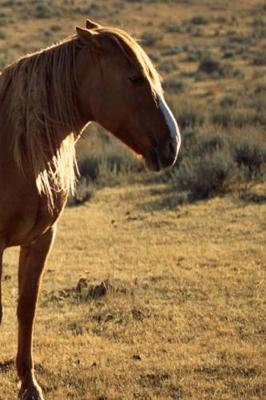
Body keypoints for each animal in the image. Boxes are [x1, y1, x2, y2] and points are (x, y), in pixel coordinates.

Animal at [0, 18, 181, 400]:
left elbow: (27, 308)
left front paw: (29, 384)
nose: (172, 146)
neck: (13, 147)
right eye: (134, 78)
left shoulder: (40, 239)